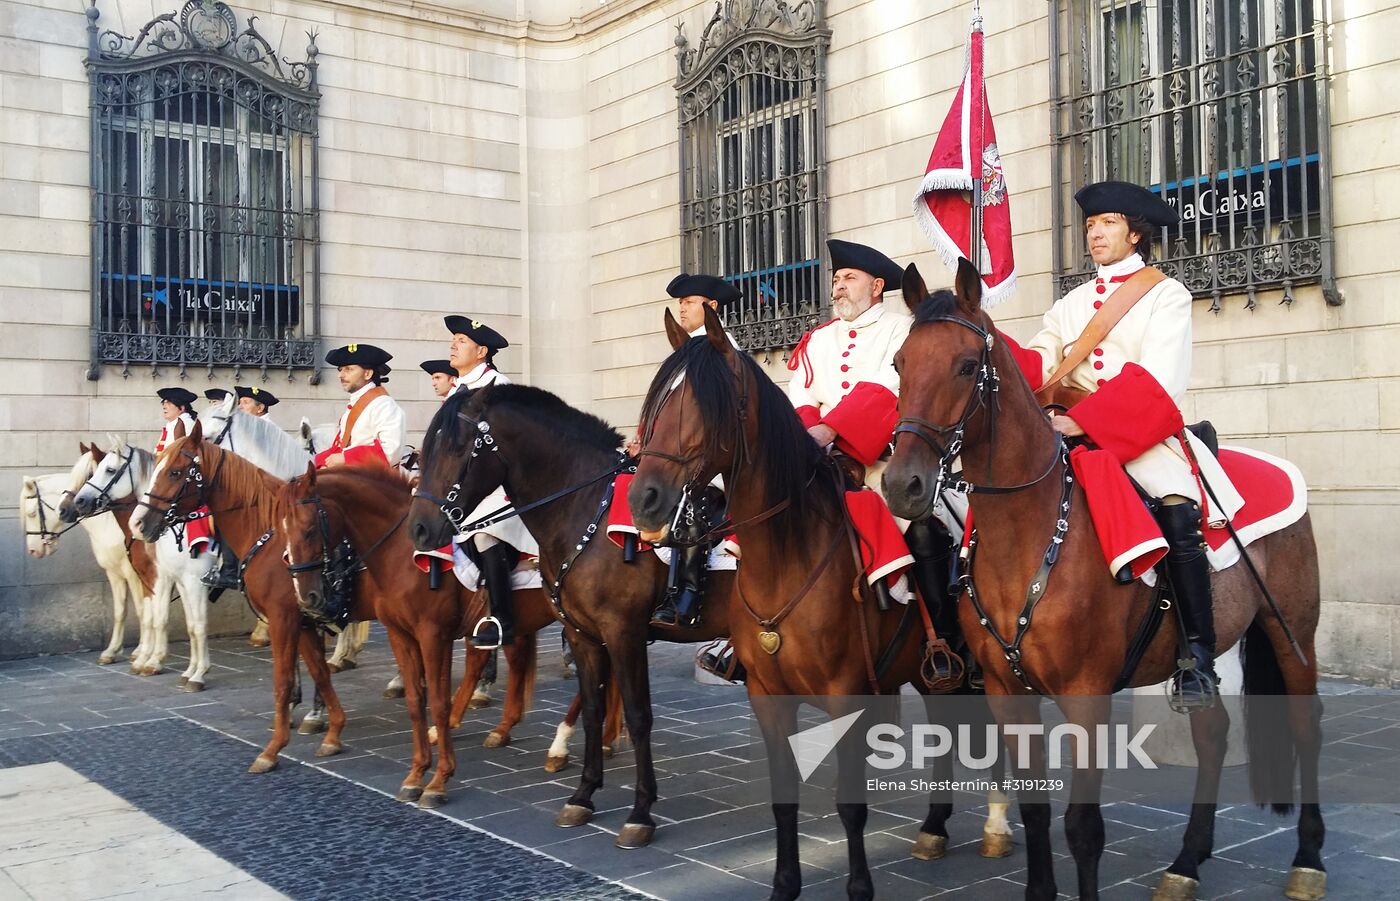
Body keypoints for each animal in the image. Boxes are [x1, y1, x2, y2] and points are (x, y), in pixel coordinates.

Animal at [20, 450, 150, 660]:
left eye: (31, 513)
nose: (33, 550)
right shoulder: (114, 572)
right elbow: (120, 610)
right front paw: (112, 650)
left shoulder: (135, 573)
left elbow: (142, 609)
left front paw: (140, 650)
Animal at [65, 439, 217, 685]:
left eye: (108, 470)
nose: (74, 504)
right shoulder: (153, 576)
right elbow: (151, 615)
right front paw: (144, 657)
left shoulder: (162, 577)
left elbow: (158, 617)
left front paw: (153, 660)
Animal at [406, 383, 733, 850]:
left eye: (457, 447)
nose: (419, 529)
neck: (582, 509)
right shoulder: (582, 633)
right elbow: (593, 707)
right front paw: (583, 794)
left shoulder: (624, 632)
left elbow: (639, 715)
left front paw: (640, 812)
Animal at [630, 306, 1013, 895]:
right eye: (656, 401)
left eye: (703, 404)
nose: (643, 498)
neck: (788, 554)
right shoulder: (768, 697)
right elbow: (783, 798)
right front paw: (785, 884)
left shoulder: (847, 694)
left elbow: (851, 806)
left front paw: (859, 888)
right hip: (929, 670)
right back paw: (934, 827)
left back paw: (996, 825)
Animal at [879, 258, 1327, 901]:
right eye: (900, 364)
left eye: (966, 366)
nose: (903, 485)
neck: (1030, 532)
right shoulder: (1006, 689)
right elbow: (1035, 808)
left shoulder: (1085, 692)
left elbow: (1083, 827)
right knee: (1213, 733)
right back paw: (1186, 864)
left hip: (1291, 630)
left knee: (1304, 726)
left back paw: (1307, 861)